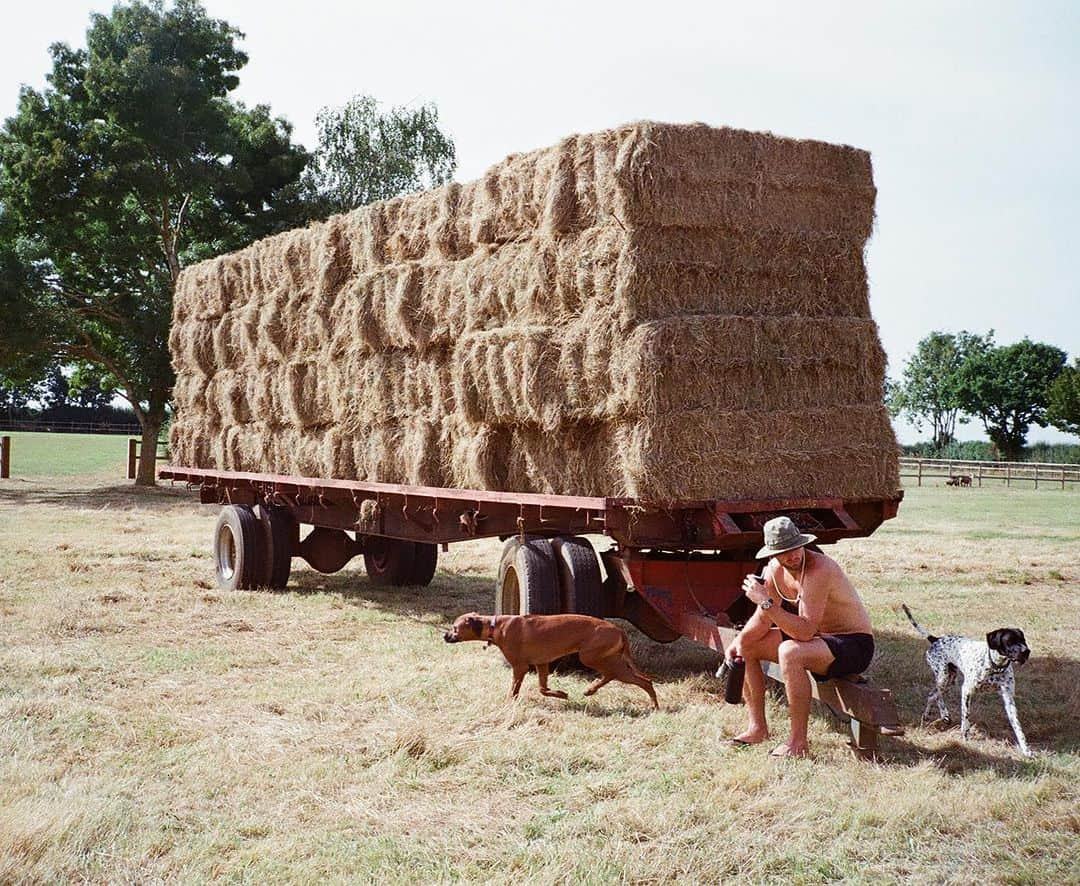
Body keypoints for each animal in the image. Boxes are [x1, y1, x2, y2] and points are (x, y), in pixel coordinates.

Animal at [440, 613, 656, 708]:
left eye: (455, 628)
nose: (444, 636)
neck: (495, 625)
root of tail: (619, 630)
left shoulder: (519, 667)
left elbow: (514, 690)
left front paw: (508, 703)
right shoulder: (541, 664)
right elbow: (543, 689)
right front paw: (561, 694)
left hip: (591, 657)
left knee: (643, 681)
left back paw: (655, 706)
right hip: (602, 658)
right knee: (612, 675)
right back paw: (591, 689)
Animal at [898, 600, 1032, 756]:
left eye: (1023, 640)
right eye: (1010, 641)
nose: (1026, 651)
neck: (994, 666)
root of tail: (936, 639)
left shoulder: (1008, 698)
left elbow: (1018, 727)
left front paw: (1025, 749)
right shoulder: (966, 691)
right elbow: (966, 718)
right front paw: (965, 738)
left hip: (950, 679)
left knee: (934, 695)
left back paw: (940, 715)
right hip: (943, 677)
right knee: (933, 694)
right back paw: (938, 714)